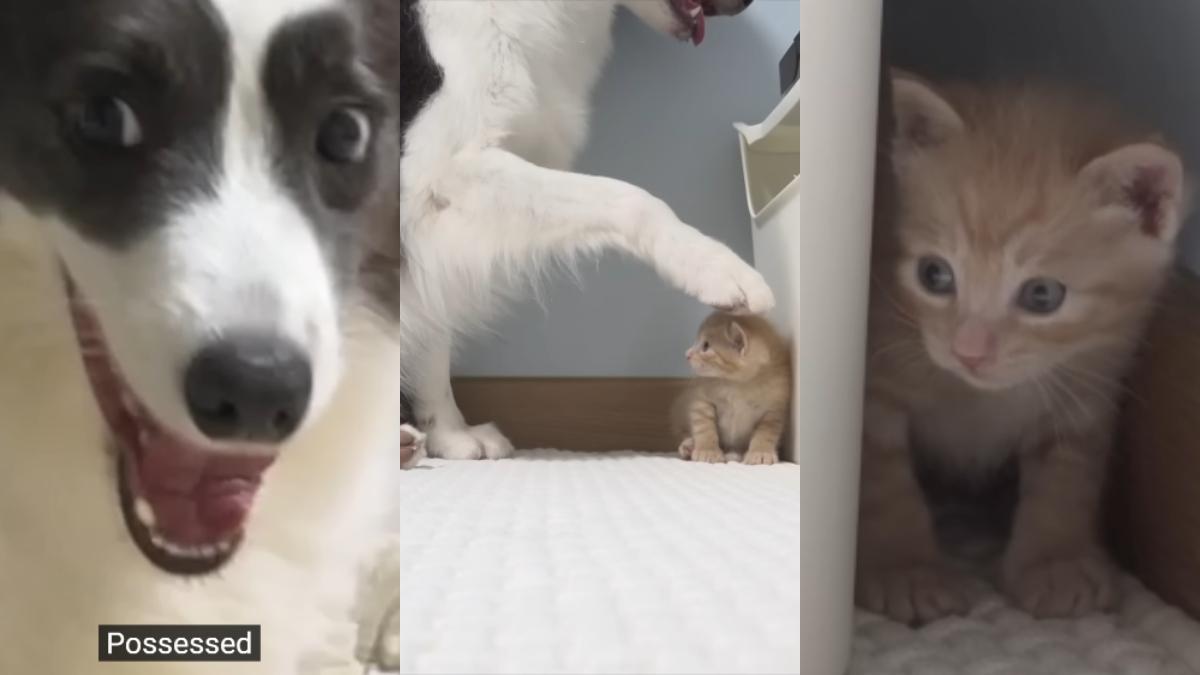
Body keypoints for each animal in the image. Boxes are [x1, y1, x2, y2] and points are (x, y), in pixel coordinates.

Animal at [400, 0, 777, 458]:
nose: (751, 6)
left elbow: (433, 326)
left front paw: (450, 434)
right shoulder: (439, 169)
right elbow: (632, 199)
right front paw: (716, 267)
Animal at [676, 309, 787, 461]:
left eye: (706, 346)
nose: (686, 354)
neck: (737, 385)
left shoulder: (773, 410)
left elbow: (766, 433)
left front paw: (760, 452)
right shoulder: (702, 399)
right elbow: (704, 426)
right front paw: (708, 450)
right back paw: (689, 446)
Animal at [859, 70, 1185, 624]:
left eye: (1042, 295)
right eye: (934, 274)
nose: (968, 352)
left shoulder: (1089, 385)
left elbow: (1066, 476)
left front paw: (1055, 562)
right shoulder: (876, 380)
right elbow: (882, 478)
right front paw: (906, 568)